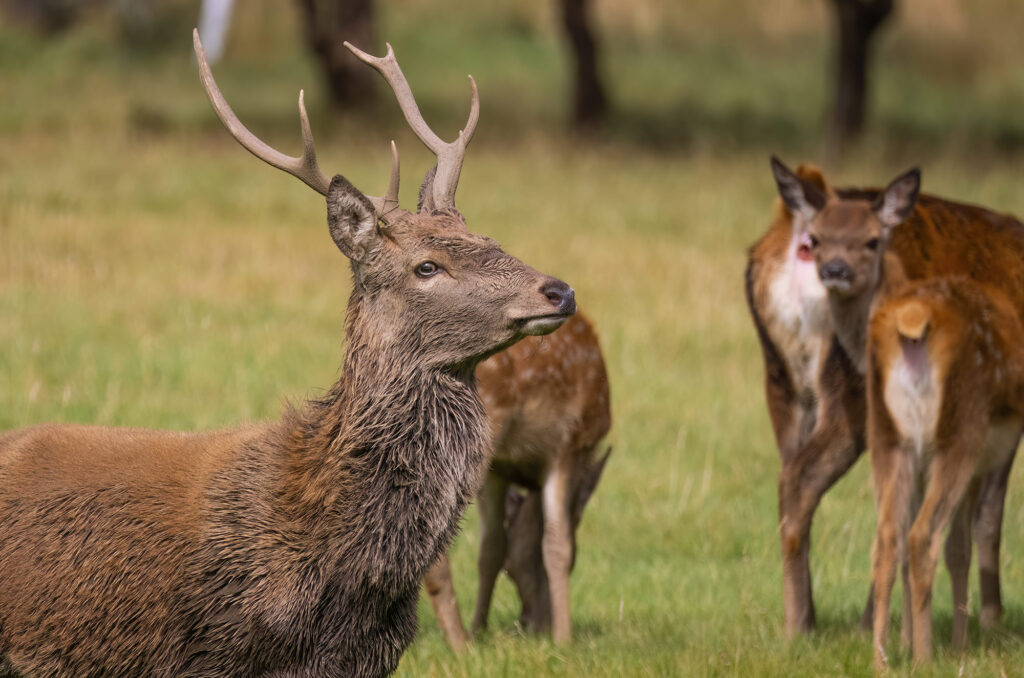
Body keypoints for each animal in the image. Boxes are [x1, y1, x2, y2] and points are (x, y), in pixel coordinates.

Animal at [421, 313, 606, 647]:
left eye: (511, 569)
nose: (533, 624)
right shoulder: (568, 444)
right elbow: (556, 543)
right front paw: (564, 639)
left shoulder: (499, 470)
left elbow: (491, 548)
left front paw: (479, 628)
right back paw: (459, 643)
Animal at [868, 278, 1024, 667]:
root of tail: (912, 318)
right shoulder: (979, 460)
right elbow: (960, 546)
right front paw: (957, 646)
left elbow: (957, 548)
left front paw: (940, 643)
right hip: (960, 431)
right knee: (922, 537)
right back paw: (924, 660)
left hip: (888, 438)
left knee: (888, 539)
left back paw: (881, 662)